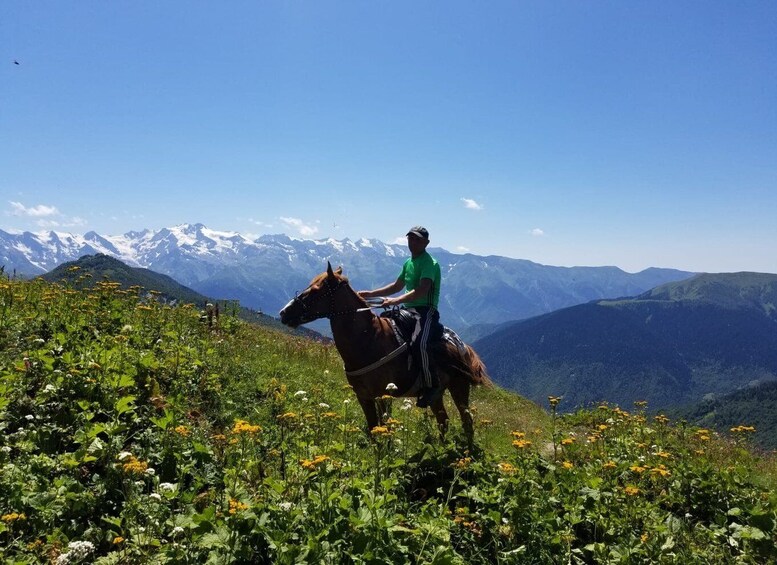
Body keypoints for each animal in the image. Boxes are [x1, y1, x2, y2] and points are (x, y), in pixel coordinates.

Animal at [276, 262, 488, 442]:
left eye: (314, 291)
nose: (284, 313)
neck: (369, 340)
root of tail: (463, 346)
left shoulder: (384, 396)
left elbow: (384, 428)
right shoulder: (364, 396)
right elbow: (373, 428)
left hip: (459, 387)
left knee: (467, 422)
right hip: (437, 394)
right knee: (443, 421)